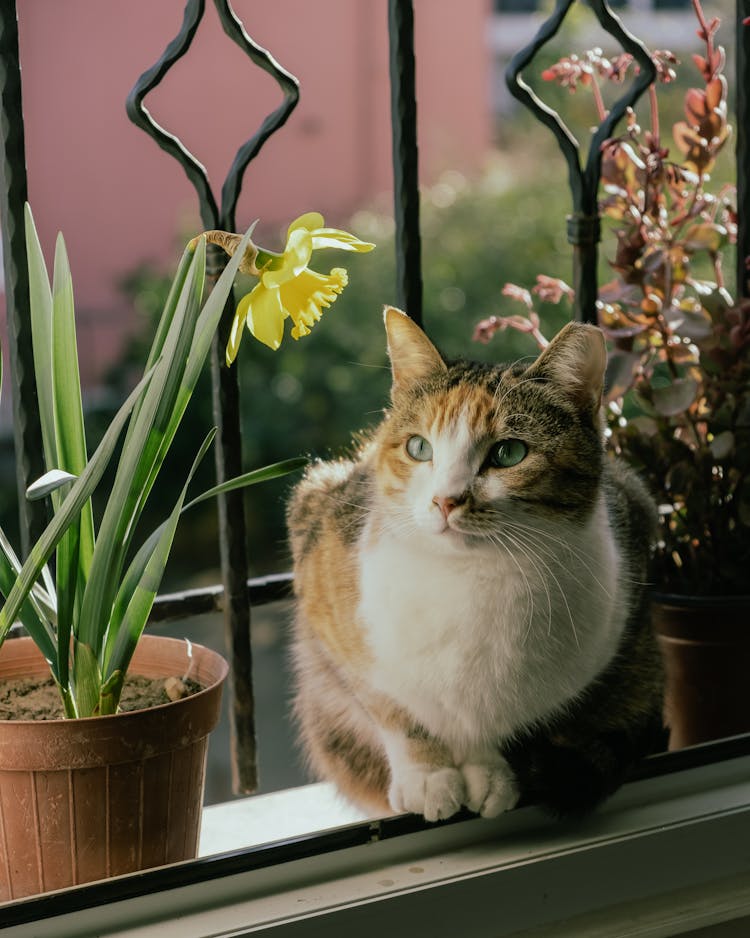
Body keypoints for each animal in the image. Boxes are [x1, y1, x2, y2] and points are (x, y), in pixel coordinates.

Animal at [286, 308, 664, 820]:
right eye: (419, 448)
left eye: (509, 453)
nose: (446, 500)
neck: (469, 578)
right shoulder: (323, 572)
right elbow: (392, 708)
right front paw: (427, 777)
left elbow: (493, 721)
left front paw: (489, 773)